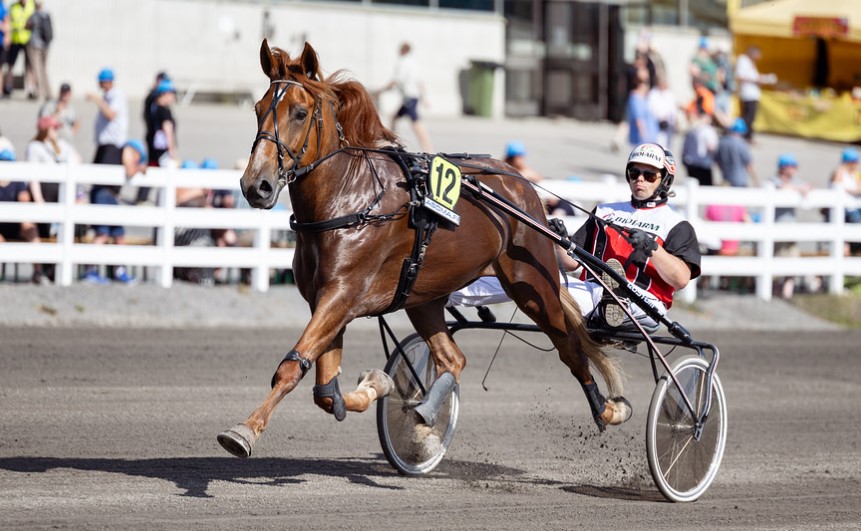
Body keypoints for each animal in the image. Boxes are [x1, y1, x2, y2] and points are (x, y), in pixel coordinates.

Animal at [217, 40, 631, 459]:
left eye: (300, 113)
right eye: (258, 109)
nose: (256, 185)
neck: (349, 199)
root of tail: (521, 183)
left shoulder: (342, 295)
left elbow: (292, 368)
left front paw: (244, 430)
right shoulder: (327, 301)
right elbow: (326, 391)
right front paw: (377, 385)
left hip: (532, 284)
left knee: (569, 345)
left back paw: (607, 409)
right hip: (424, 297)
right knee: (452, 359)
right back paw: (425, 413)